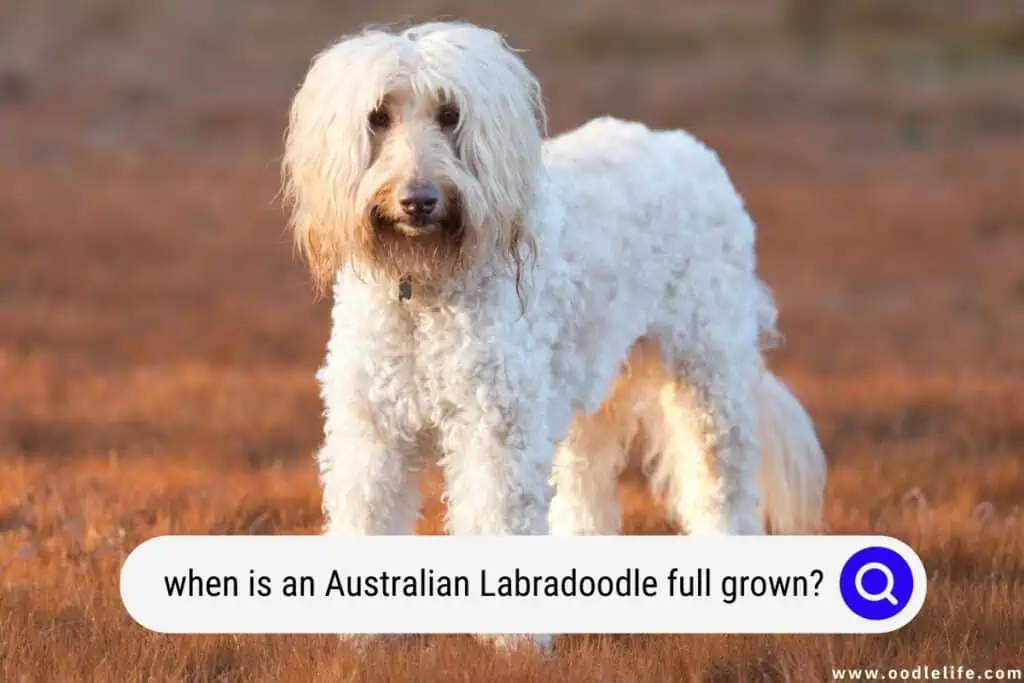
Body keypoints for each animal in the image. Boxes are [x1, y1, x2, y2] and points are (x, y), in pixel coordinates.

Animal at [284, 21, 827, 548]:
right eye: (377, 117)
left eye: (450, 114)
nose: (419, 200)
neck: (423, 286)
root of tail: (692, 148)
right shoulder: (371, 434)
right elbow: (364, 517)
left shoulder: (495, 435)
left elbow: (495, 523)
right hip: (590, 387)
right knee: (587, 488)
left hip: (709, 378)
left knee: (721, 487)